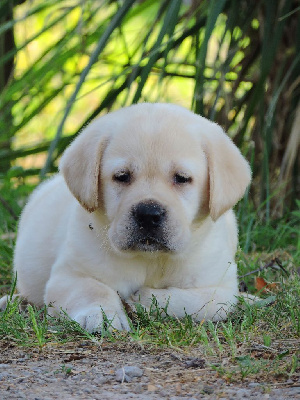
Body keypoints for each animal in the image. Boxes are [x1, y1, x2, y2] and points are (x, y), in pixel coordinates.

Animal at [1, 102, 252, 332]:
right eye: (122, 176)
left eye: (181, 178)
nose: (148, 214)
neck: (151, 260)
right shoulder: (70, 275)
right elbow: (94, 290)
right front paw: (100, 315)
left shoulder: (221, 288)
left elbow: (191, 301)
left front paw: (142, 300)